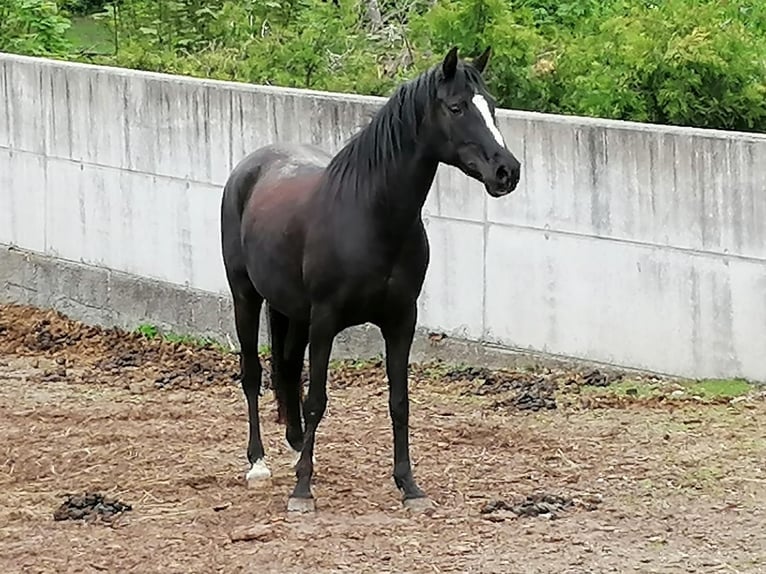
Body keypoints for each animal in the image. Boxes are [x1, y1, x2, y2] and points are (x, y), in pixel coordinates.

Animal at [219, 45, 524, 512]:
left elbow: (399, 402)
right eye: (456, 107)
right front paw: (303, 490)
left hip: (295, 313)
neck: (370, 217)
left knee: (286, 368)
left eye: (490, 106)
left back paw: (295, 448)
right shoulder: (326, 321)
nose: (507, 171)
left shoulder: (400, 321)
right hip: (246, 295)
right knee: (253, 374)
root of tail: (249, 167)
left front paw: (409, 485)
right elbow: (317, 400)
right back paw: (259, 464)